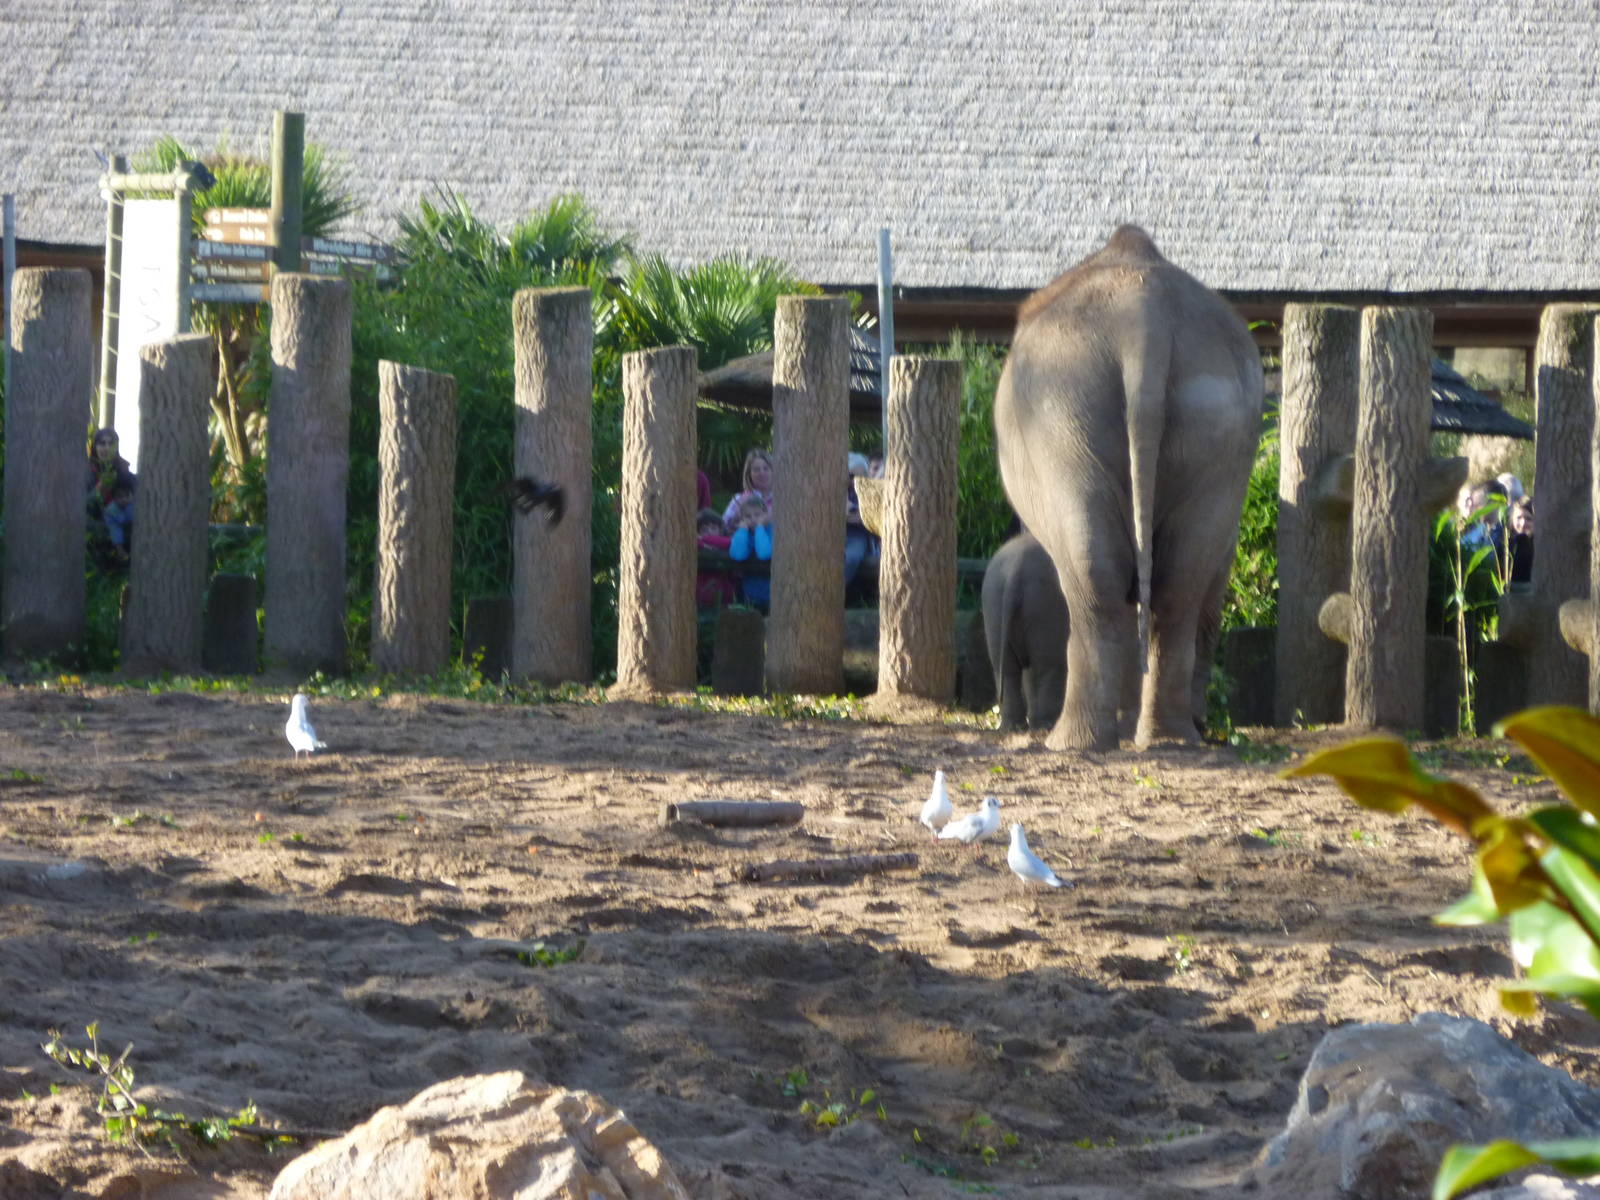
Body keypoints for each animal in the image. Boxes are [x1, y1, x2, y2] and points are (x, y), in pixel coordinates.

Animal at [981, 531, 1069, 732]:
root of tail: (1016, 569)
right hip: (1045, 605)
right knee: (1047, 665)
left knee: (1008, 668)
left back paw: (1014, 727)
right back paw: (1045, 726)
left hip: (993, 603)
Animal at [993, 225, 1263, 752]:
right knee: (1178, 578)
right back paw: (1170, 738)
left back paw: (1072, 743)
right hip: (1213, 418)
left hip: (1063, 413)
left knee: (1093, 572)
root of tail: (1145, 315)